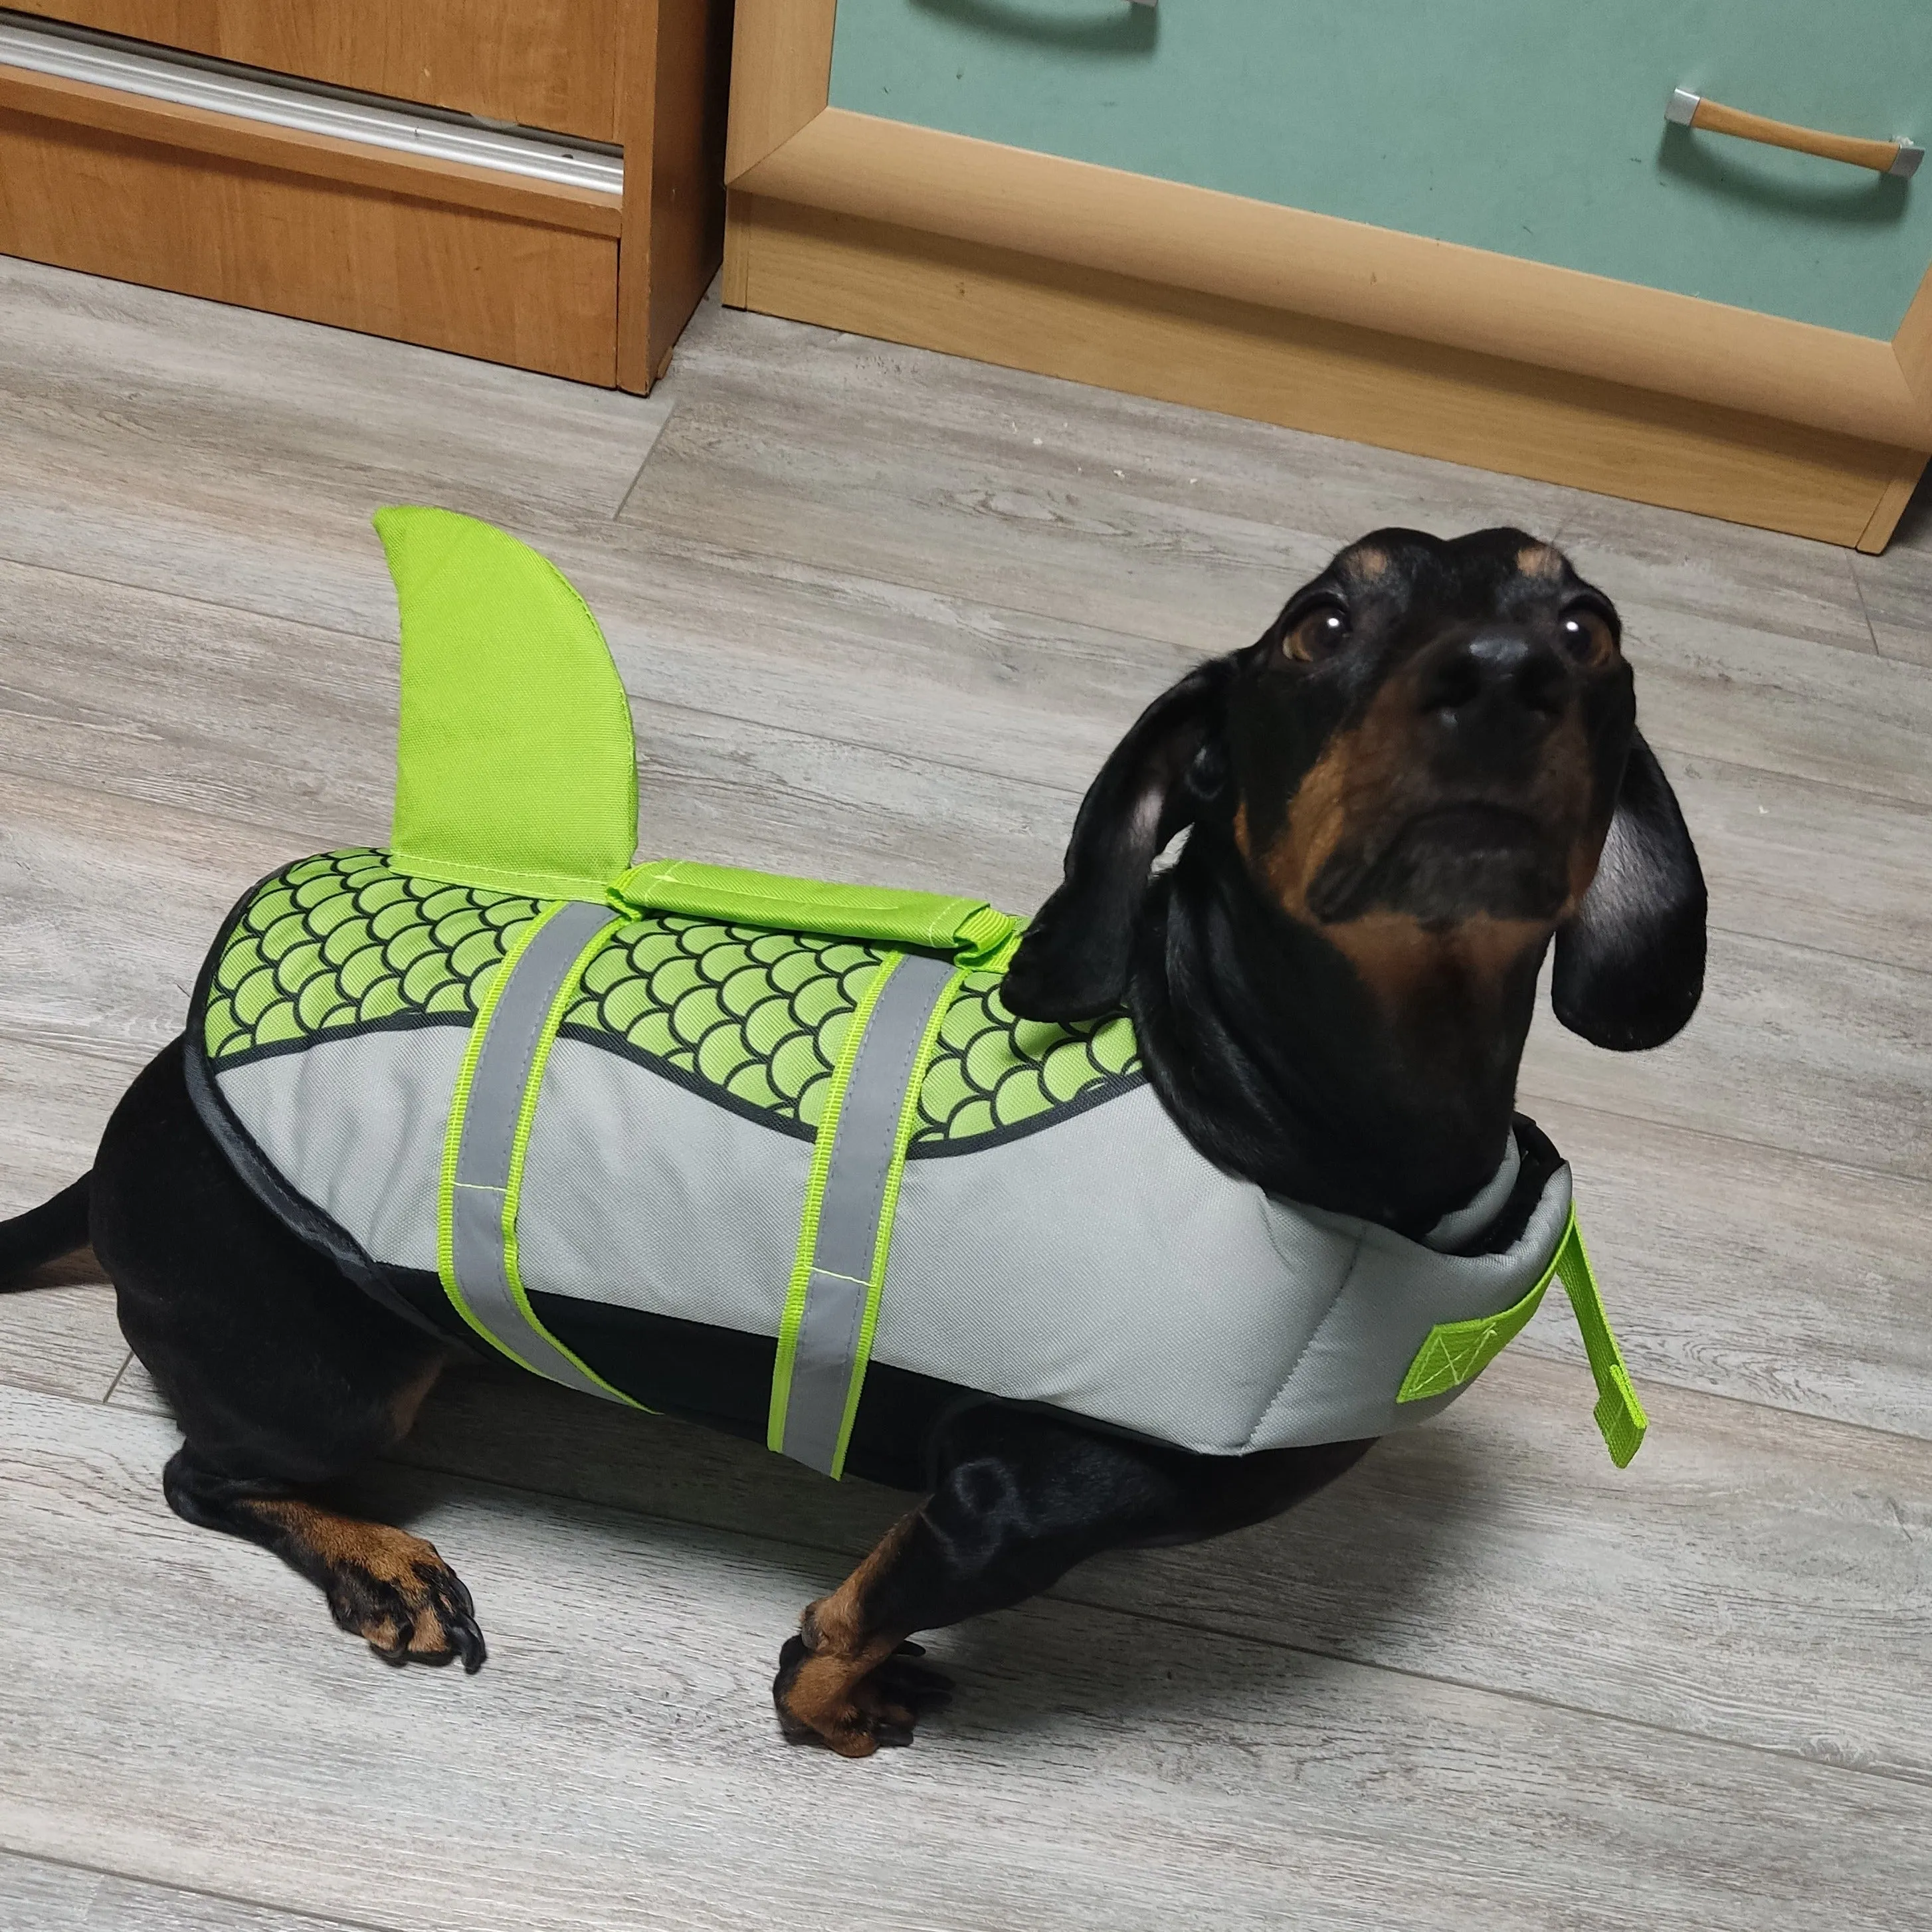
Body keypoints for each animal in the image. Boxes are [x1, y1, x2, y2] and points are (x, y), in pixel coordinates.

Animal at [0, 525, 1700, 1754]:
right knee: (203, 1476)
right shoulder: (1003, 1502)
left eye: (1585, 623)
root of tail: (142, 1122)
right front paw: (835, 1702)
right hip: (341, 1376)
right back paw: (381, 1565)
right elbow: (853, 1617)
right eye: (1323, 624)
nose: (1502, 674)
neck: (1268, 1100)